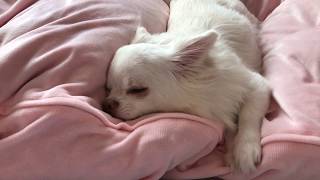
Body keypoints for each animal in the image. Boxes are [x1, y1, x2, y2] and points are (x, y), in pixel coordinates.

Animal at [104, 0, 270, 173]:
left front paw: (245, 150)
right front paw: (232, 152)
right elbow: (231, 127)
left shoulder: (257, 84)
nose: (107, 104)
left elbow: (248, 116)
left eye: (137, 90)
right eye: (109, 89)